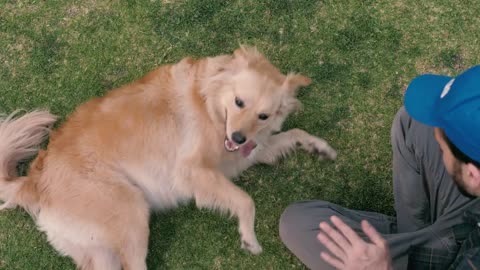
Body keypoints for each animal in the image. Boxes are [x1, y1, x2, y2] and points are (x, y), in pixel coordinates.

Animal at [0, 47, 336, 270]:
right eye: (239, 101)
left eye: (263, 115)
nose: (239, 137)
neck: (210, 104)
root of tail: (35, 180)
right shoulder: (191, 171)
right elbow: (244, 200)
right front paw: (248, 237)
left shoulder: (246, 152)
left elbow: (294, 133)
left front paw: (320, 147)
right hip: (131, 211)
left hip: (102, 246)